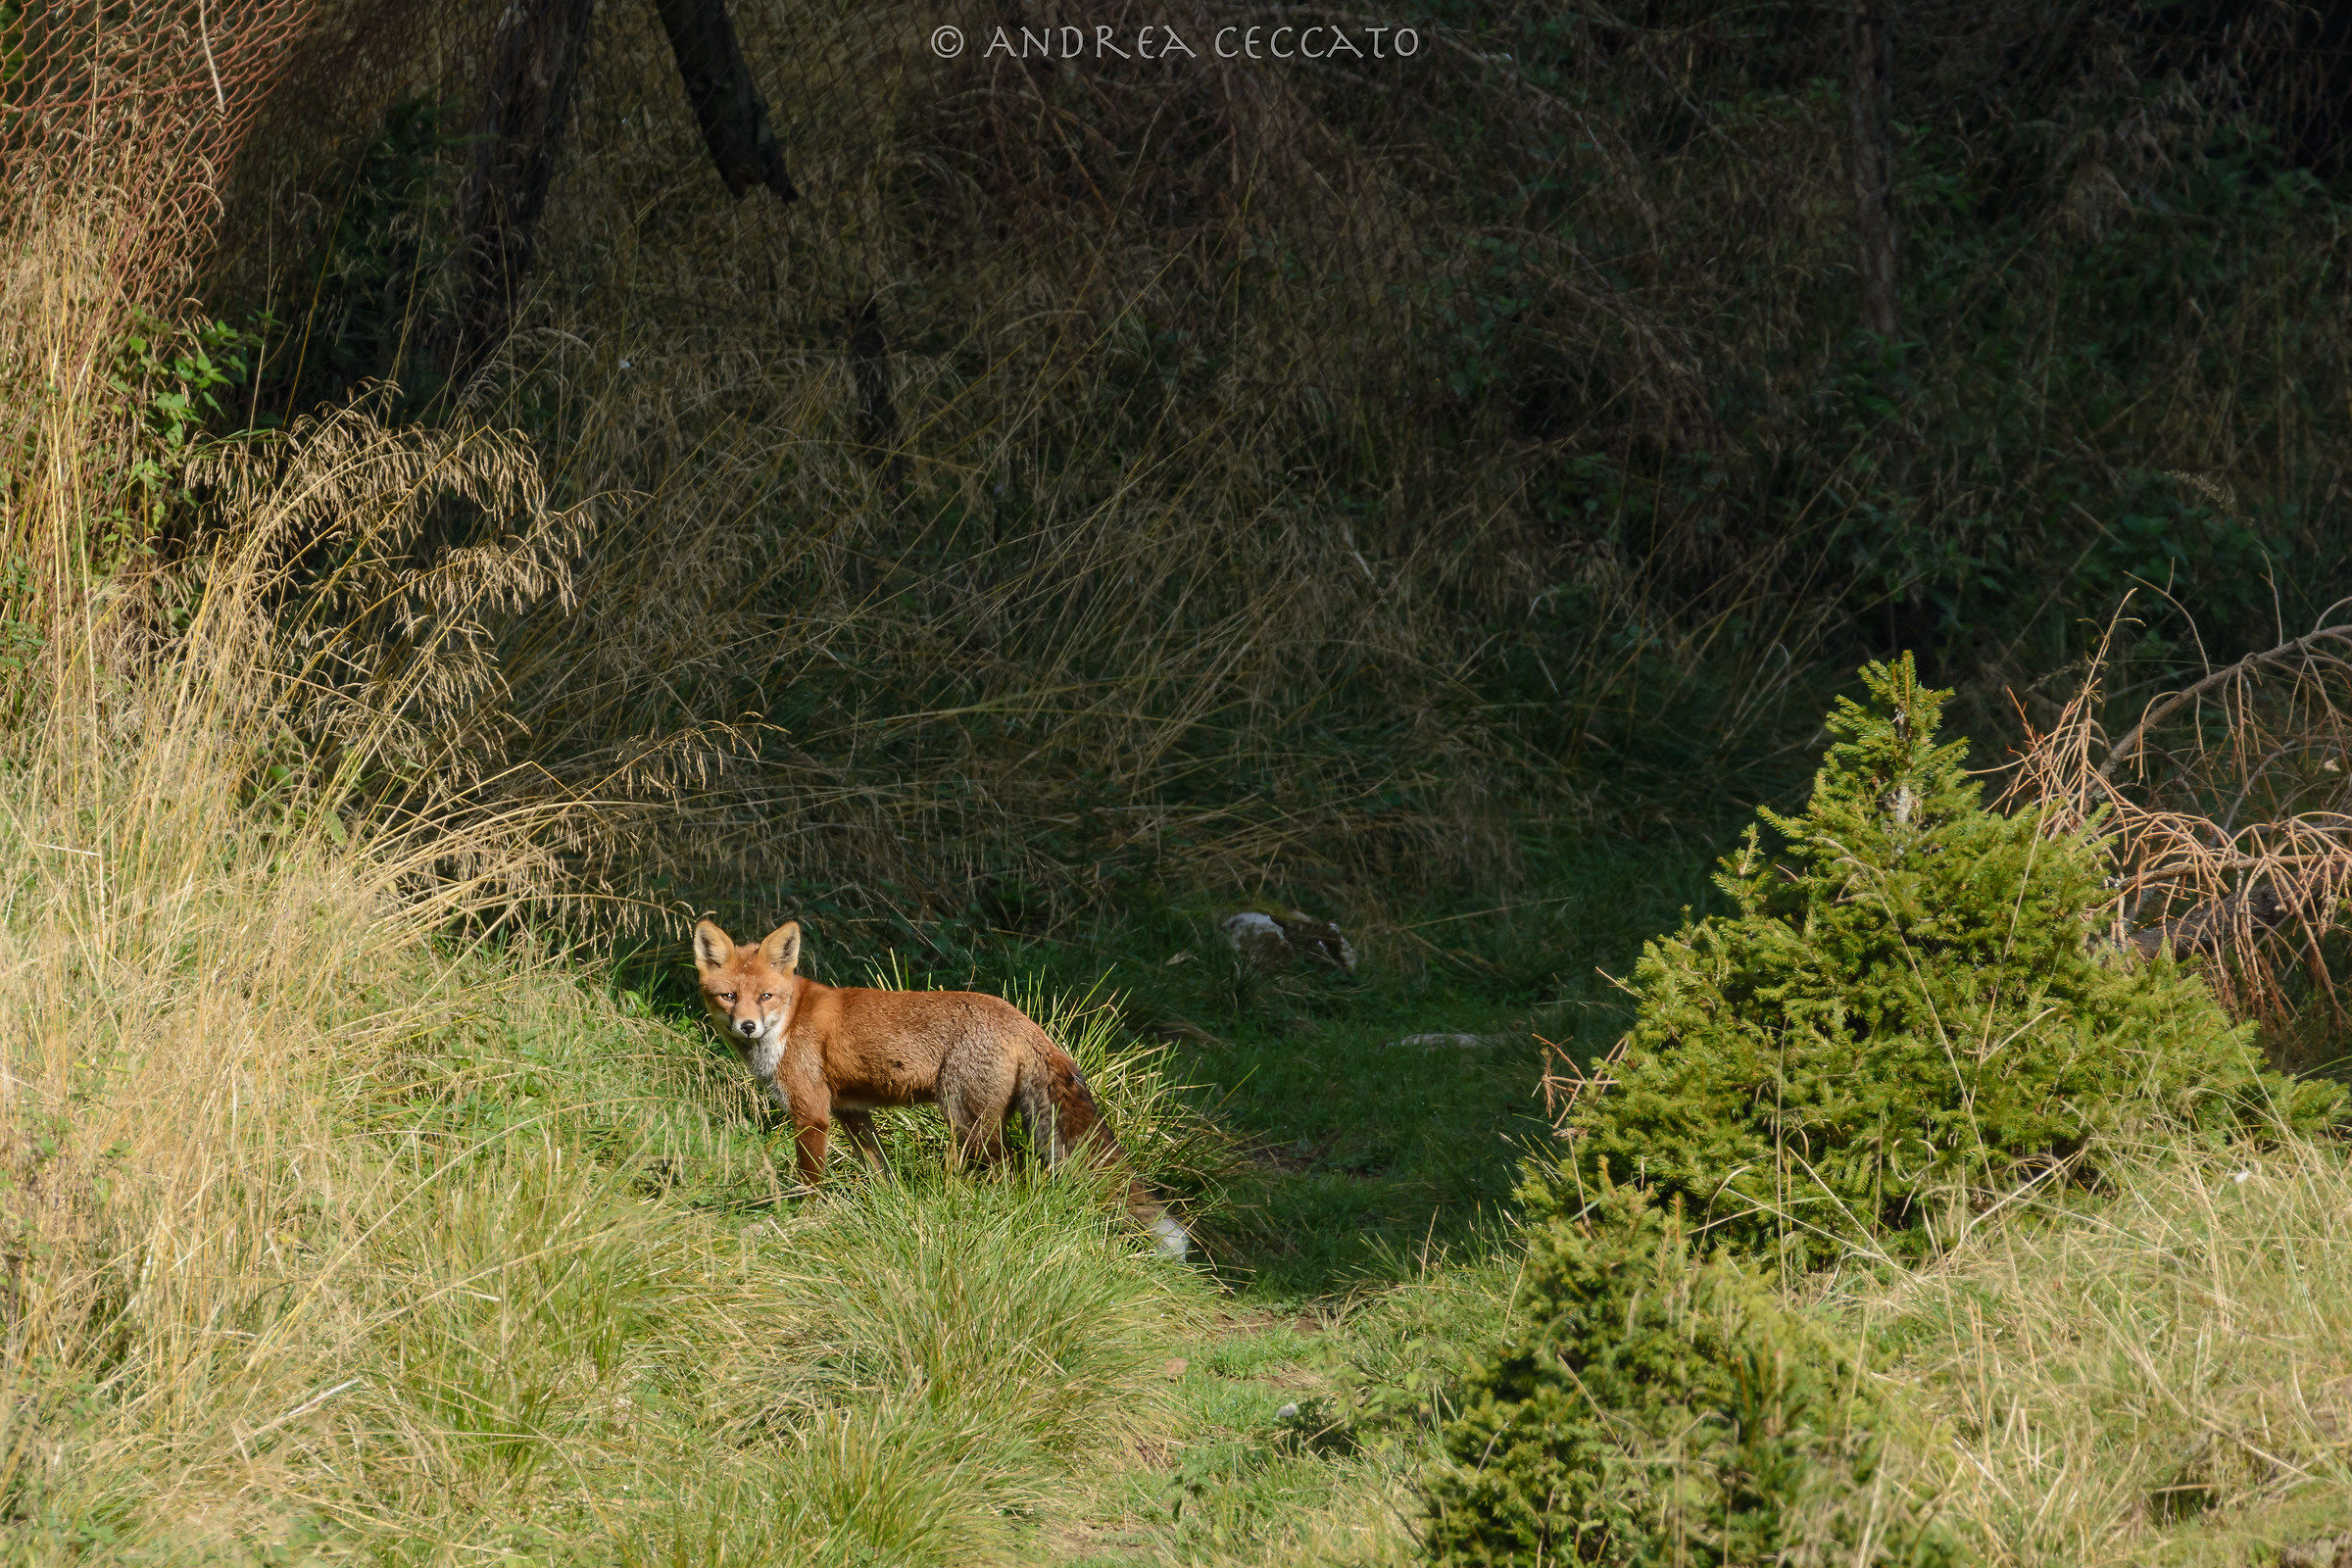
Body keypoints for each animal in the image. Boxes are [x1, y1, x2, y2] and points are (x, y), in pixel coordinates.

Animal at [692, 917, 1190, 1259]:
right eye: (729, 996)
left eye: (765, 997)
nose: (748, 1026)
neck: (789, 1021)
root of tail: (1025, 1020)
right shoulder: (851, 1111)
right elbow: (880, 1171)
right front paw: (886, 1209)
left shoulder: (811, 1112)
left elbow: (811, 1183)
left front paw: (804, 1221)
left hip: (967, 1123)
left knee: (1009, 1174)